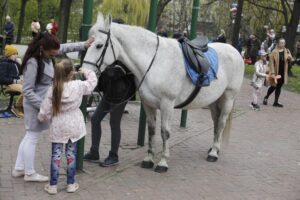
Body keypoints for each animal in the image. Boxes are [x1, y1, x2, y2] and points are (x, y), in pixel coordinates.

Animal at [81, 14, 244, 173]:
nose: (83, 72)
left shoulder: (167, 104)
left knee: (221, 122)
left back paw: (214, 153)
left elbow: (165, 132)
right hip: (214, 101)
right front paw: (149, 159)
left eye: (99, 45)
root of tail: (234, 50)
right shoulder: (148, 104)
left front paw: (163, 162)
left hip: (228, 98)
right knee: (216, 122)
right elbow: (152, 130)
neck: (155, 62)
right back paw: (213, 148)